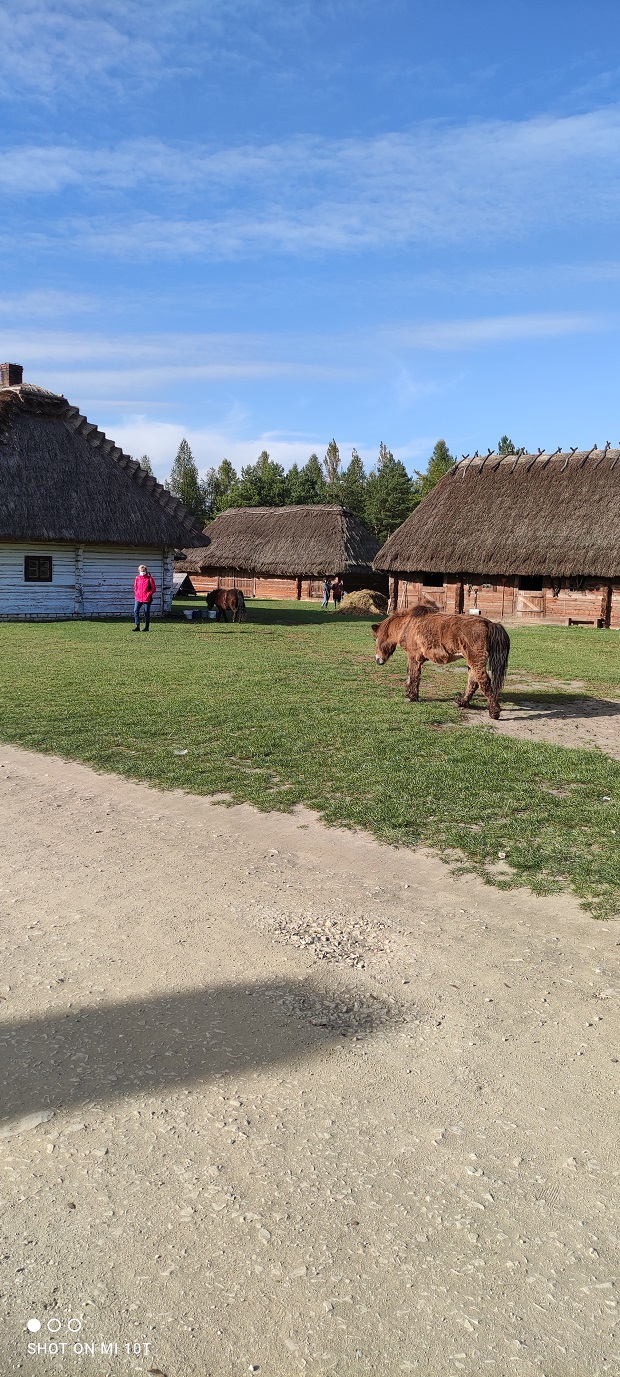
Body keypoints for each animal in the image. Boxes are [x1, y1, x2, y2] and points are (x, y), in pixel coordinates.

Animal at [372, 608, 509, 727]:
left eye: (375, 639)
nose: (378, 660)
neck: (408, 625)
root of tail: (488, 623)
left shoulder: (414, 657)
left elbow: (414, 676)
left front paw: (412, 697)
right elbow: (410, 676)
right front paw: (409, 693)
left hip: (475, 659)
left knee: (484, 682)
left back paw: (494, 712)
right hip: (472, 661)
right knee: (473, 681)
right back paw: (462, 702)